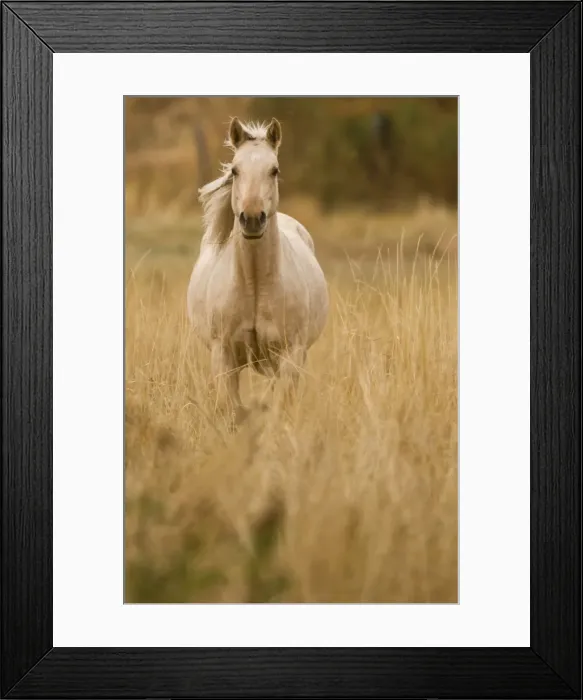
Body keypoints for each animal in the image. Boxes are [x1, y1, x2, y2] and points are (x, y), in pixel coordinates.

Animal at [187, 117, 329, 425]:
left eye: (274, 170)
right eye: (235, 170)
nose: (252, 219)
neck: (254, 285)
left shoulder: (290, 356)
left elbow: (281, 410)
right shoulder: (224, 357)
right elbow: (232, 412)